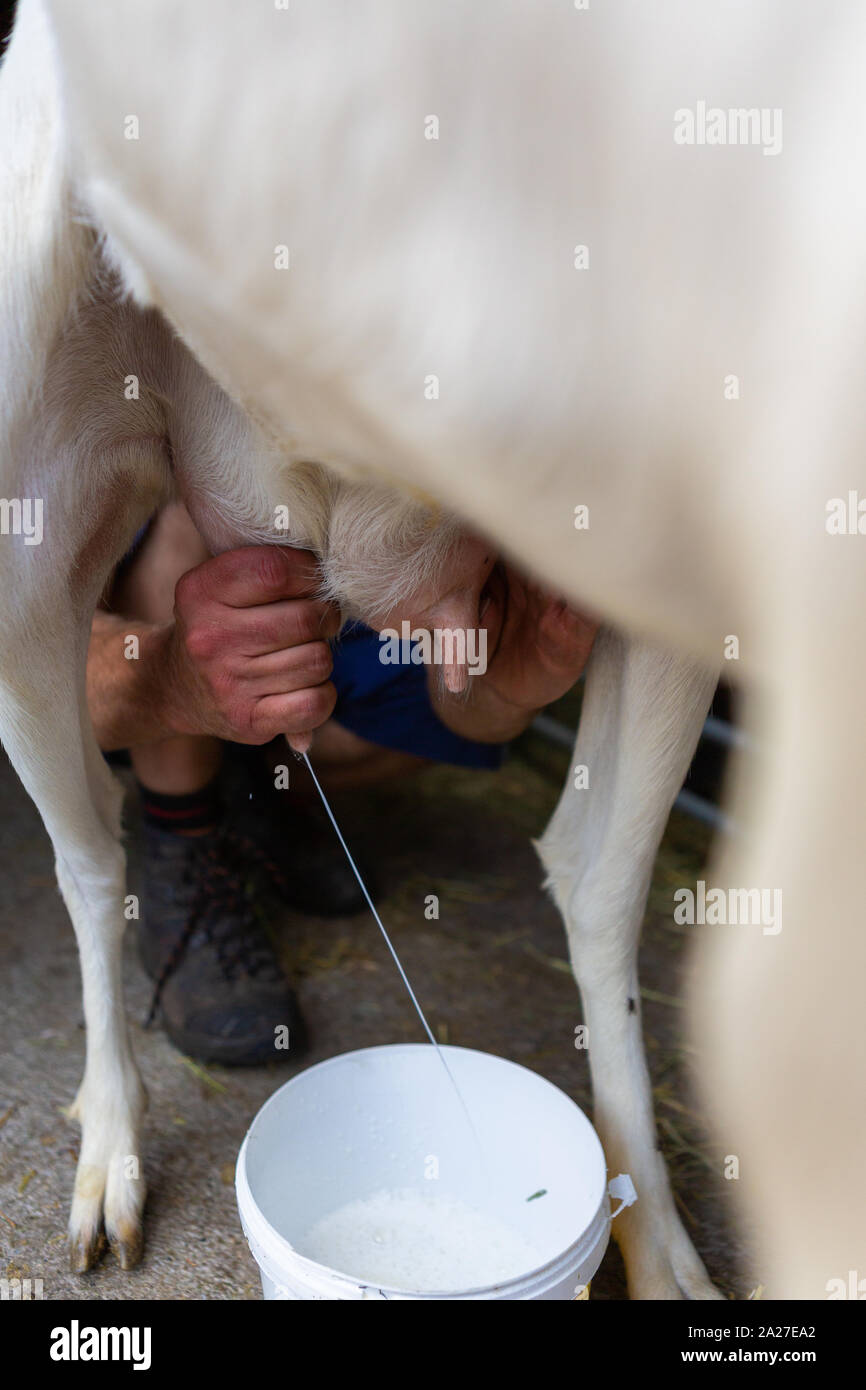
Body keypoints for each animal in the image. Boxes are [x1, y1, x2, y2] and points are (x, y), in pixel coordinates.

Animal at [0, 2, 861, 1301]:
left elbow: (598, 871)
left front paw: (653, 1248)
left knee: (596, 874)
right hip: (25, 500)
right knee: (89, 855)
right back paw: (110, 1160)